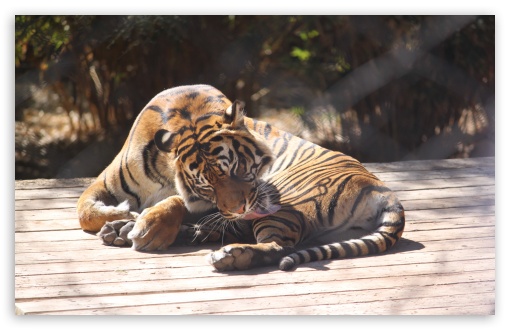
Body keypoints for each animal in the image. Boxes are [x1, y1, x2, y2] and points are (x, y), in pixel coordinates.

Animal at [76, 84, 406, 270]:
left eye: (237, 169)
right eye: (207, 184)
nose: (239, 208)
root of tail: (384, 191)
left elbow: (177, 202)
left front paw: (148, 227)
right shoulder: (101, 184)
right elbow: (85, 213)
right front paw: (124, 218)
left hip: (285, 201)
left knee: (278, 246)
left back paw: (230, 256)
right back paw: (120, 229)